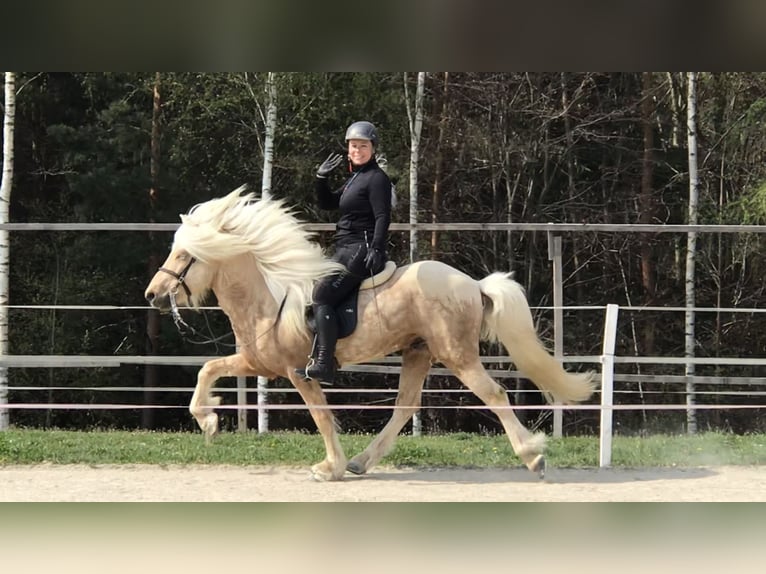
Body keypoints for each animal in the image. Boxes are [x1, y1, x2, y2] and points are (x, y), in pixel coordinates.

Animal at [146, 188, 600, 482]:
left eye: (185, 256)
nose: (153, 295)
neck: (269, 297)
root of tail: (473, 284)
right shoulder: (259, 363)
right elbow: (208, 369)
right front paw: (209, 421)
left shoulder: (297, 371)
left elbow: (321, 416)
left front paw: (329, 468)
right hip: (418, 352)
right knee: (404, 407)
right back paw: (362, 463)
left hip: (456, 354)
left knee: (494, 394)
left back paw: (533, 458)